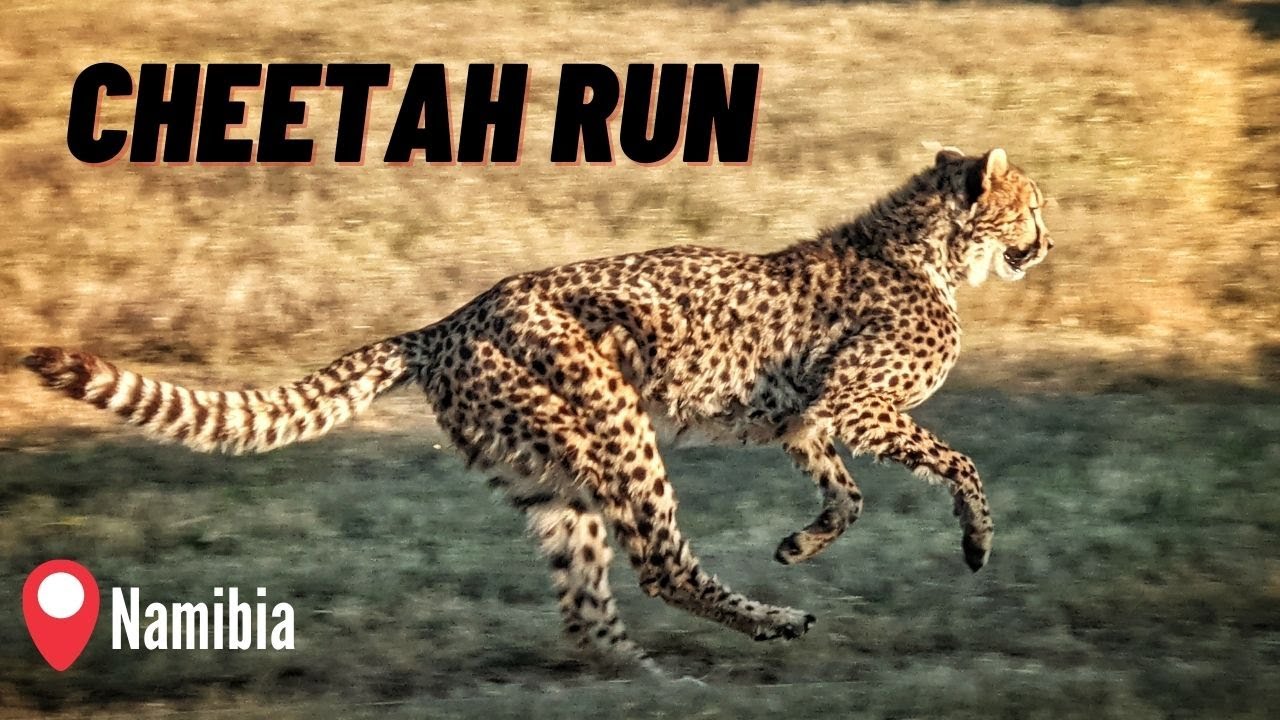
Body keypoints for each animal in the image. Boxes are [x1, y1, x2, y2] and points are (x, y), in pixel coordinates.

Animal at [24, 146, 1051, 670]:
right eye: (1030, 203)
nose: (1047, 240)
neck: (935, 250)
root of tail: (448, 318)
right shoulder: (856, 400)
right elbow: (958, 463)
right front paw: (976, 543)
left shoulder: (810, 418)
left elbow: (847, 494)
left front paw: (804, 540)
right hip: (617, 428)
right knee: (659, 567)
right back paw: (764, 626)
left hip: (552, 480)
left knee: (588, 609)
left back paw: (650, 684)